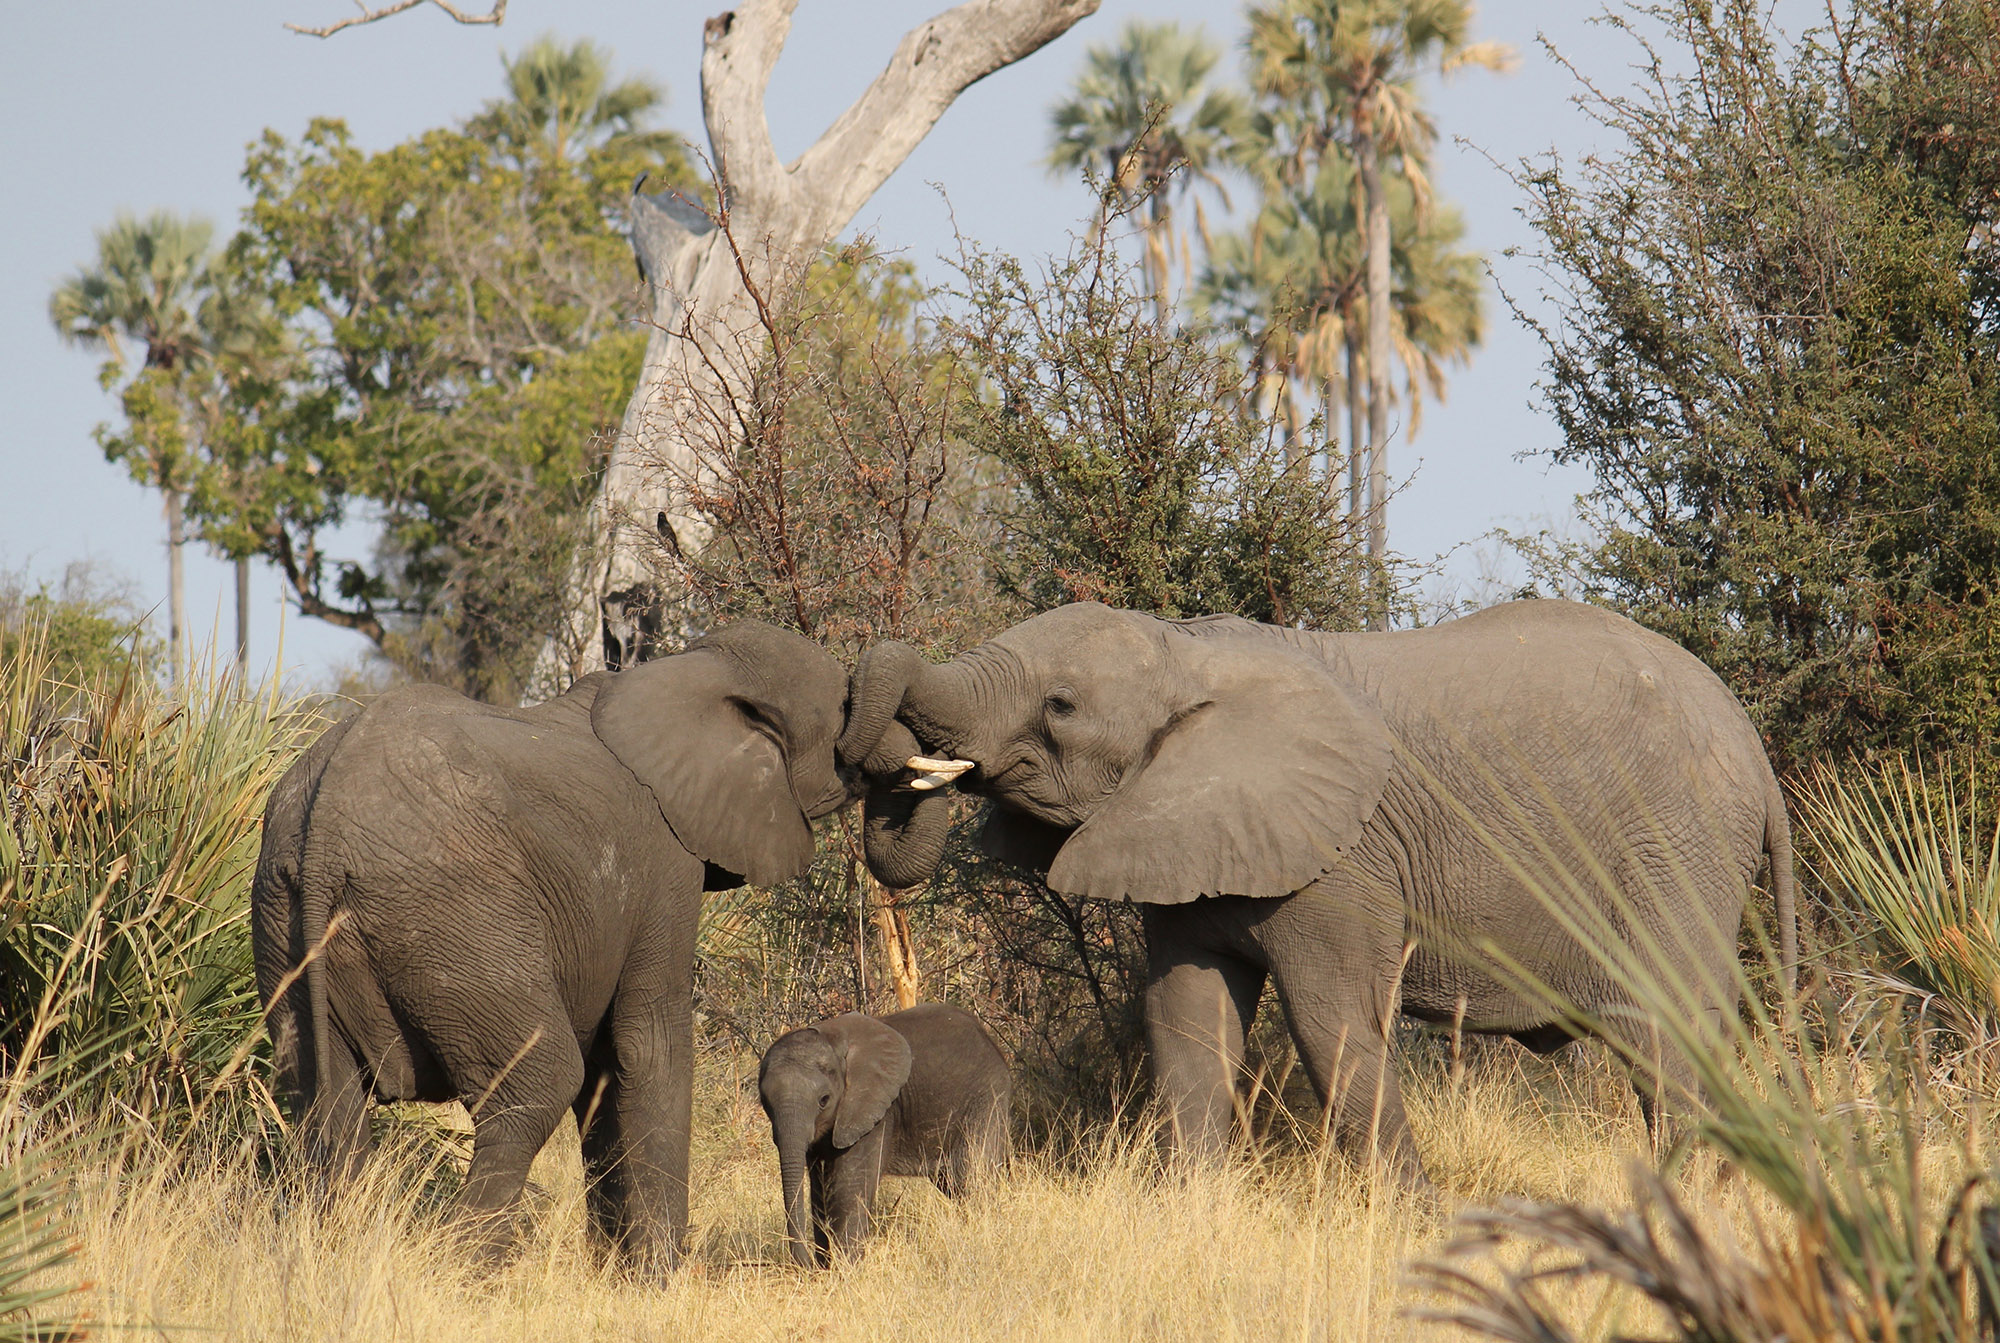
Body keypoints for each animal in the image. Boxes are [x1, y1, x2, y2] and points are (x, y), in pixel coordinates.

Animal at [251, 621, 851, 1269]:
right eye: (846, 712)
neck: (689, 668)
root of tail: (326, 828)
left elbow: (605, 1073)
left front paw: (615, 1267)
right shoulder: (665, 859)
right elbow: (647, 1042)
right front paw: (661, 1277)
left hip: (283, 917)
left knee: (326, 1103)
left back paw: (336, 1245)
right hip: (458, 916)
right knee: (539, 1083)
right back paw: (461, 1268)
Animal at [758, 1003, 1012, 1266]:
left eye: (823, 1100)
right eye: (764, 1101)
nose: (807, 1264)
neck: (833, 1041)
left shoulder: (874, 1109)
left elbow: (849, 1188)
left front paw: (845, 1269)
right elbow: (820, 1191)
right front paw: (827, 1267)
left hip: (986, 1100)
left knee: (974, 1178)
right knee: (956, 1185)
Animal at [837, 600, 1795, 1184]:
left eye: (1061, 706)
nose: (874, 756)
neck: (1189, 651)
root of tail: (1754, 748)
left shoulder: (1340, 860)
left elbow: (1332, 1023)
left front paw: (1411, 1220)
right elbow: (1186, 1018)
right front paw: (1193, 1210)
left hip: (1673, 846)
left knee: (1661, 1035)